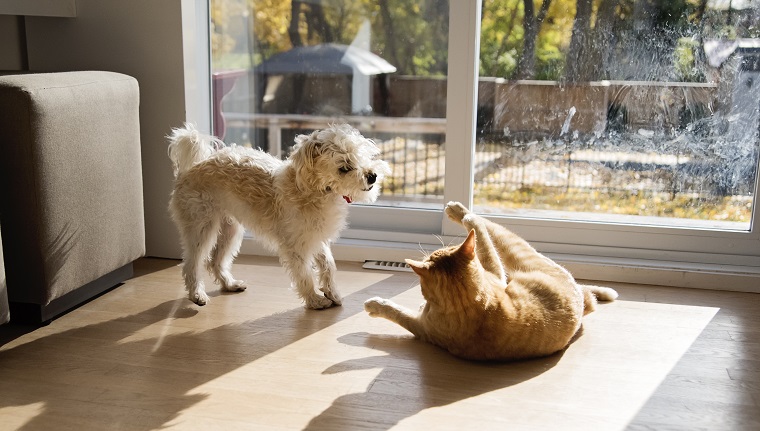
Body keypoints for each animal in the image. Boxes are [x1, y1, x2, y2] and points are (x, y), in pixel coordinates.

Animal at [167, 123, 392, 308]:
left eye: (362, 156)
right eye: (344, 168)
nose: (372, 176)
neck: (314, 190)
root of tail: (191, 168)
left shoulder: (314, 237)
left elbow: (328, 264)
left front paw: (333, 293)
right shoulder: (296, 247)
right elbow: (304, 274)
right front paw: (315, 300)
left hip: (230, 230)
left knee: (215, 261)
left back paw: (230, 284)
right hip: (201, 228)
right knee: (192, 264)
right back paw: (197, 295)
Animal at [364, 202, 616, 362]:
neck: (467, 305)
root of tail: (580, 301)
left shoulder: (420, 326)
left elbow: (396, 311)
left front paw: (375, 305)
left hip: (519, 253)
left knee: (485, 225)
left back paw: (460, 211)